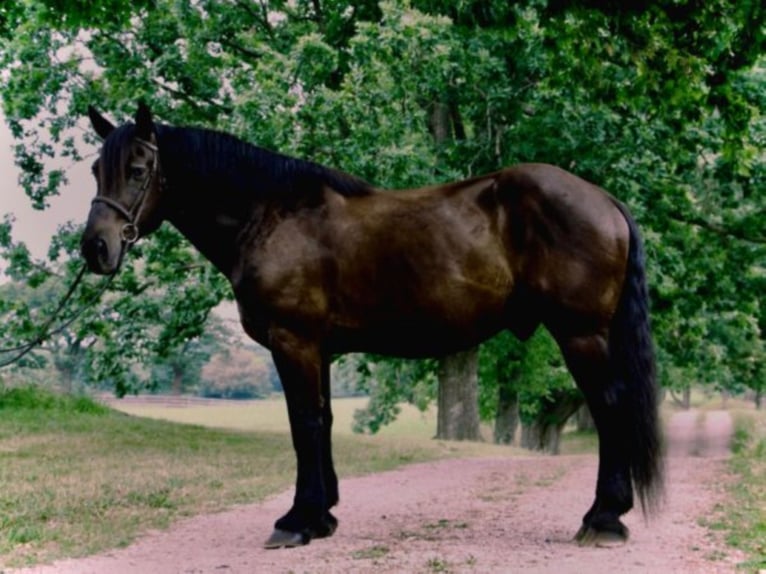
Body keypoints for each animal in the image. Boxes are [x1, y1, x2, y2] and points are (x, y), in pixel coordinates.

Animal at [81, 106, 664, 552]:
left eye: (138, 168)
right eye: (94, 170)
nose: (96, 248)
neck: (270, 215)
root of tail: (604, 200)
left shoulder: (293, 342)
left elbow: (303, 424)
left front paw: (296, 521)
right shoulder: (319, 349)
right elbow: (323, 422)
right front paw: (322, 516)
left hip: (581, 334)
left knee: (610, 408)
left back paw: (602, 519)